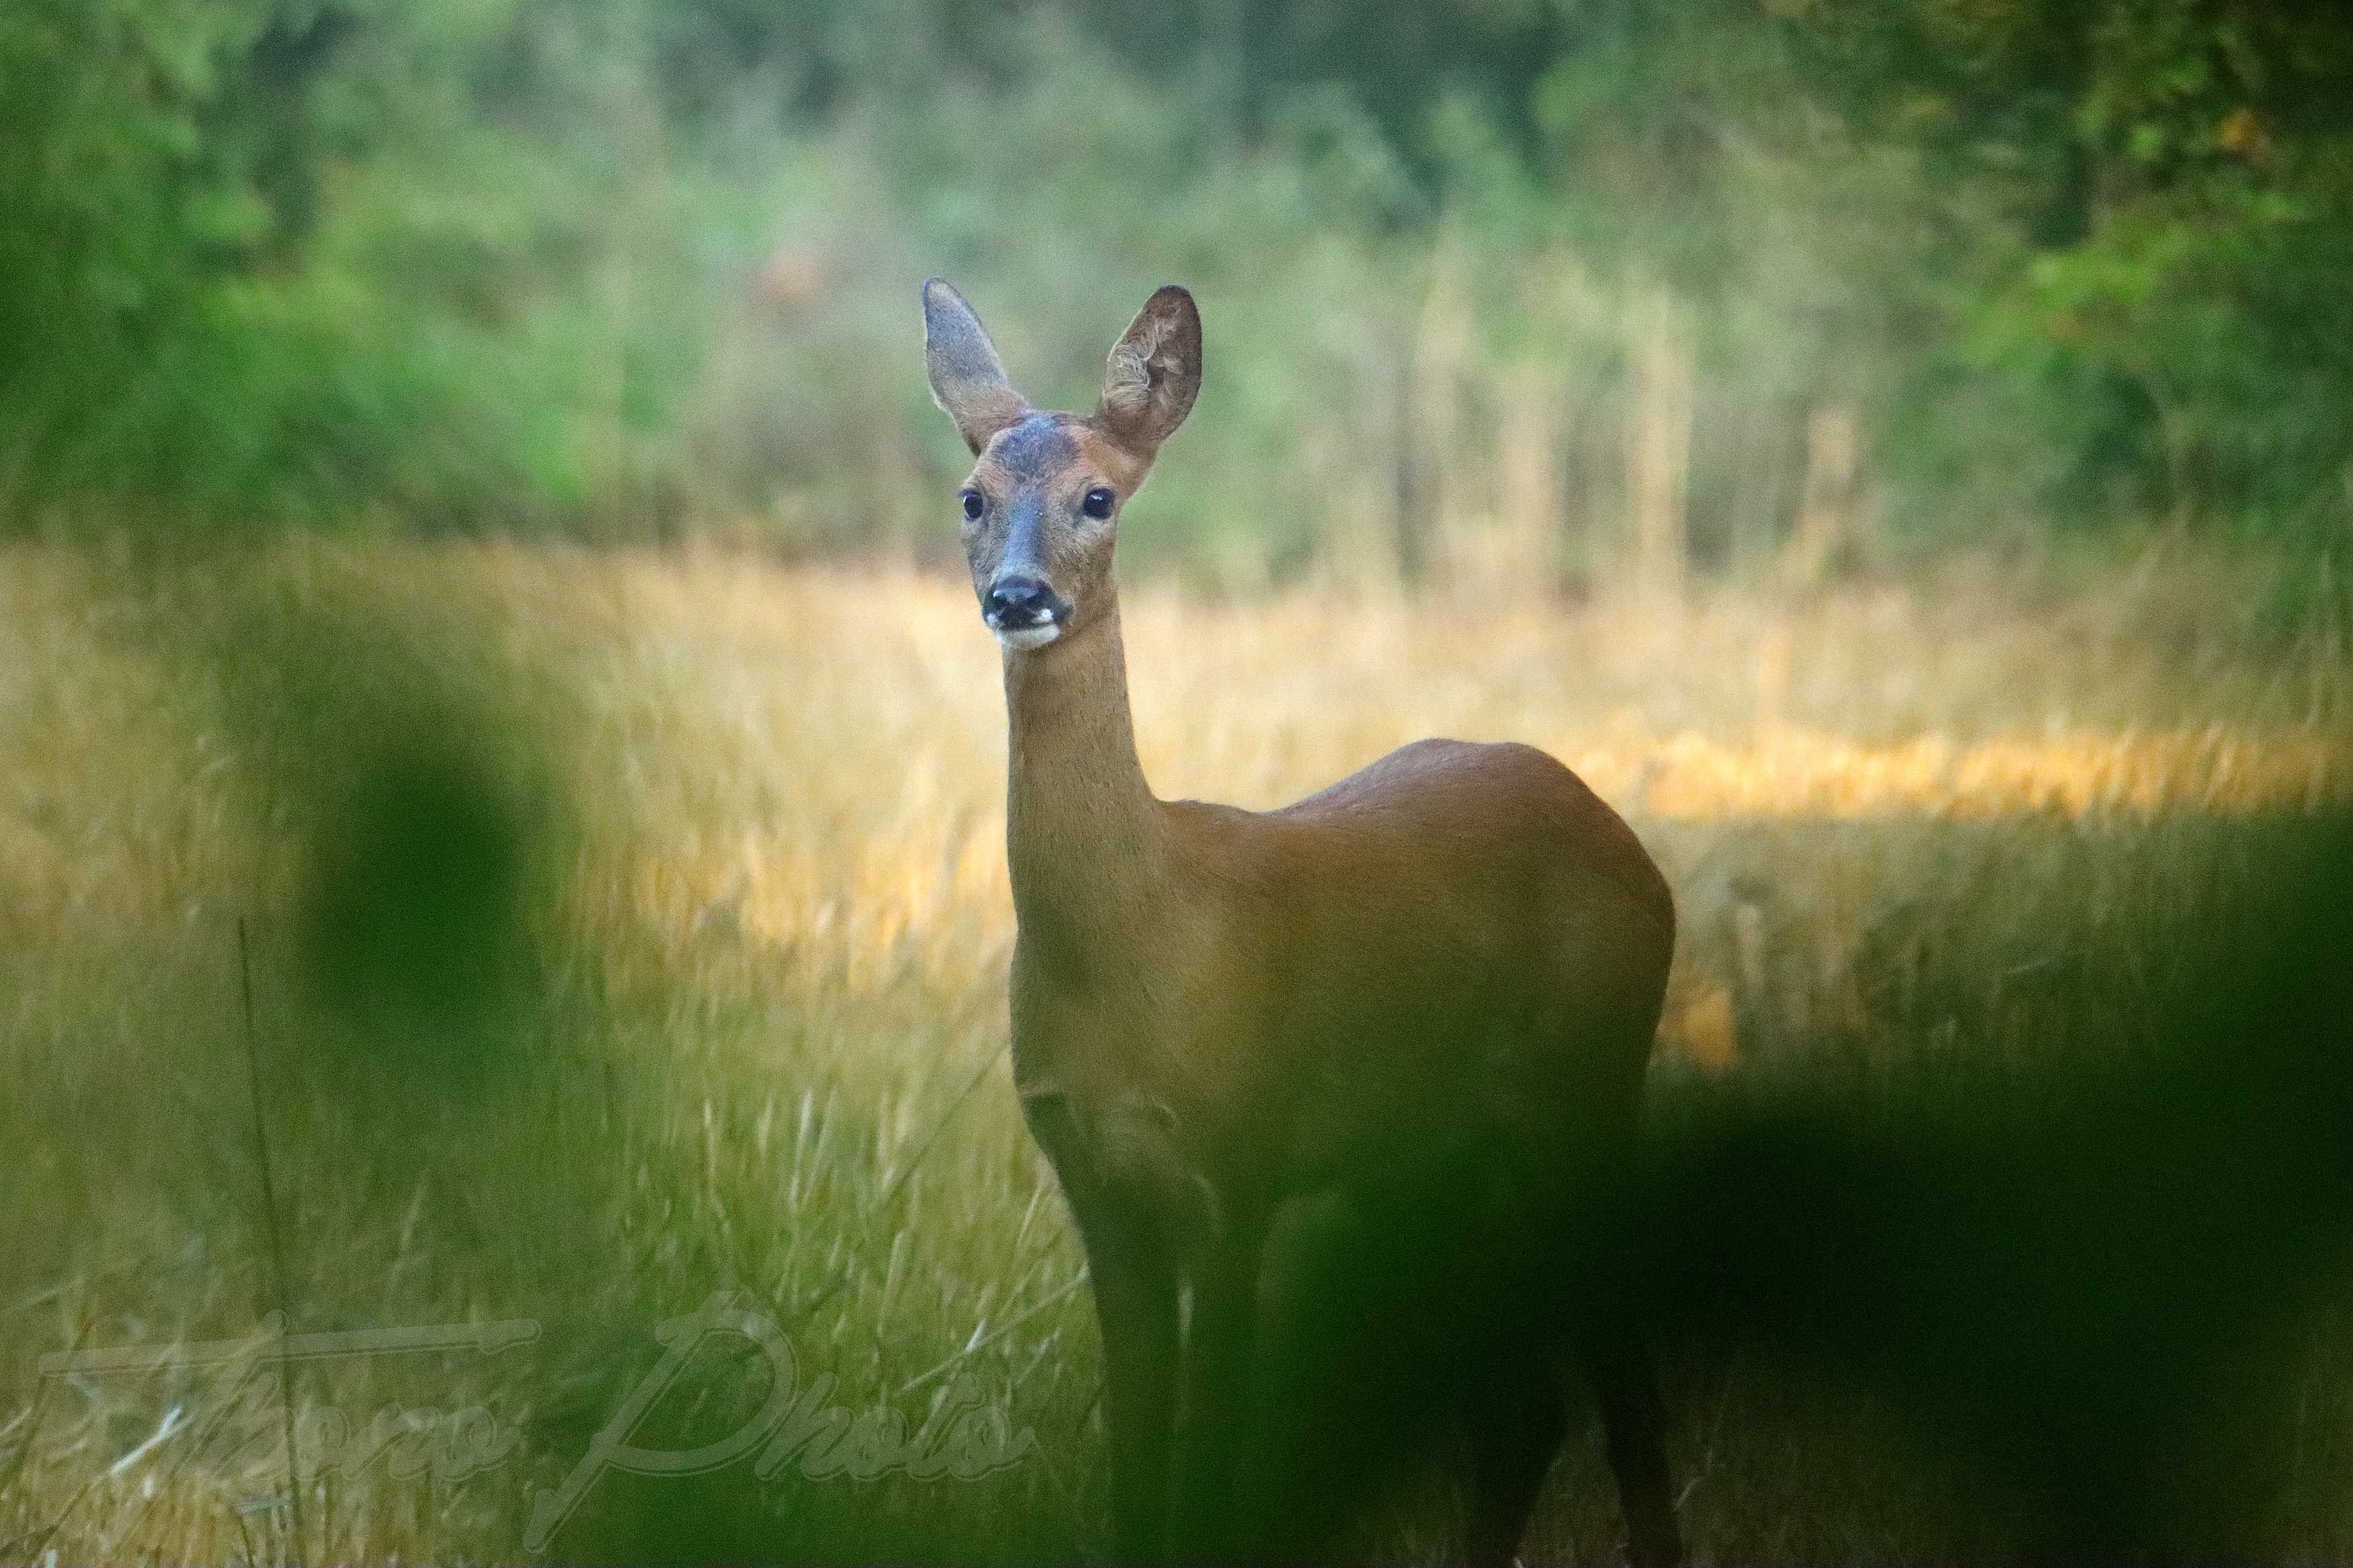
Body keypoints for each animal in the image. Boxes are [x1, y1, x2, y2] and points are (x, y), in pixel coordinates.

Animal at [927, 282, 1685, 1568]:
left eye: (1099, 496)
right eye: (972, 494)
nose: (1019, 596)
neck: (1141, 941)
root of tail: (1627, 845)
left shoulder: (1241, 1162)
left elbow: (1212, 1463)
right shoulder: (1097, 1190)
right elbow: (1138, 1461)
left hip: (1583, 1087)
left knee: (1626, 1390)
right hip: (1426, 1157)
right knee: (1521, 1410)